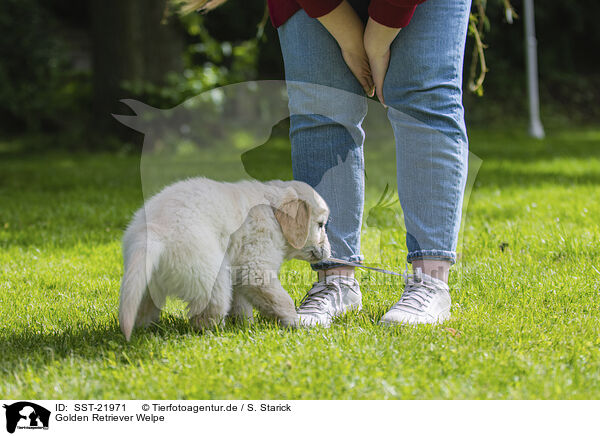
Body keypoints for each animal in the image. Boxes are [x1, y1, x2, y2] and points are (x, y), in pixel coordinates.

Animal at [119, 178, 330, 340]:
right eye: (320, 225)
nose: (330, 252)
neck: (272, 212)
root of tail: (154, 232)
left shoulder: (238, 268)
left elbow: (242, 304)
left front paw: (246, 325)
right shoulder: (255, 267)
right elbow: (281, 299)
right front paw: (296, 323)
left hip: (144, 282)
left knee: (142, 308)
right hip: (212, 278)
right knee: (206, 316)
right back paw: (217, 335)